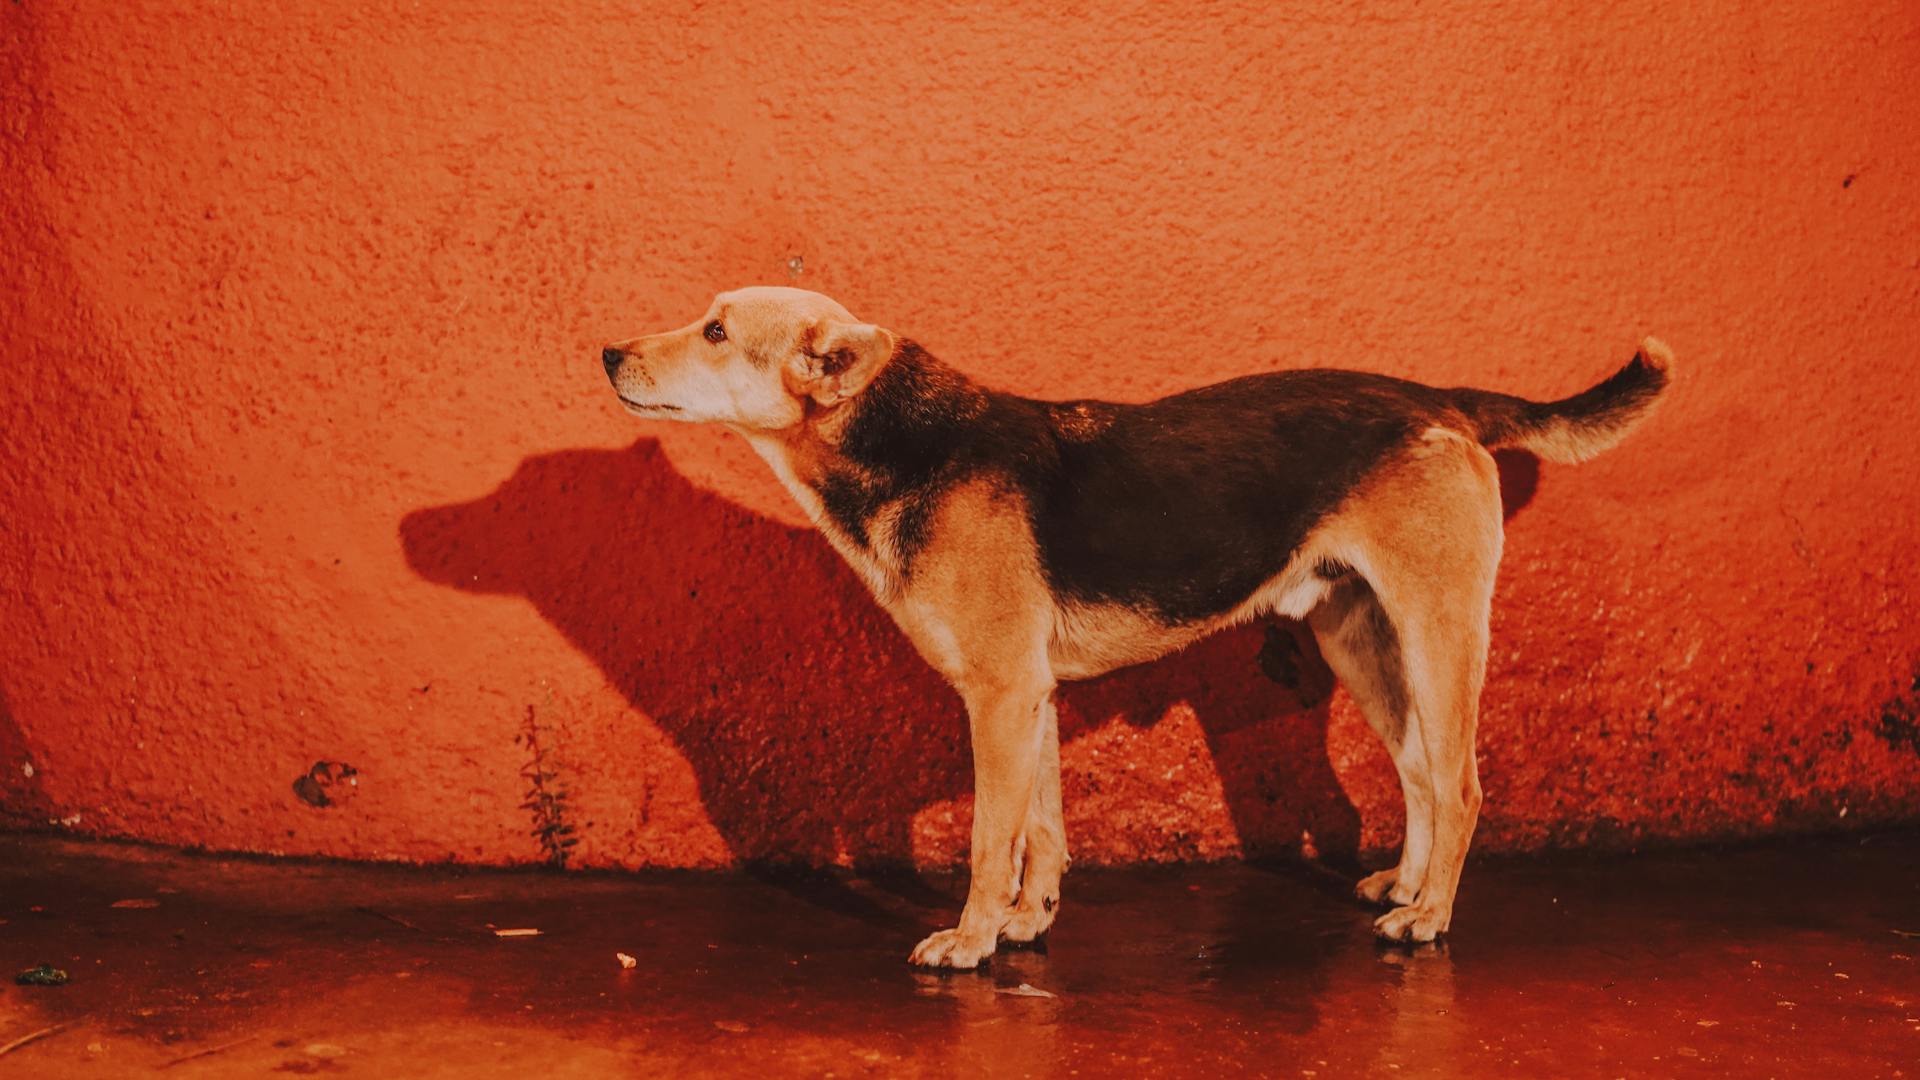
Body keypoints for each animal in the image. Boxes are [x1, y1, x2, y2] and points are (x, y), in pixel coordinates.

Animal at [599, 288, 1666, 968]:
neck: (903, 441)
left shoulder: (1000, 696)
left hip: (1439, 632)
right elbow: (1041, 829)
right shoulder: (1028, 697)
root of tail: (1437, 399)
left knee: (1463, 784)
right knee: (1417, 776)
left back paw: (1431, 918)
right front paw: (1027, 924)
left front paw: (970, 940)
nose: (607, 351)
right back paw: (1405, 888)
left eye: (716, 329)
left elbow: (988, 837)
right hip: (1360, 640)